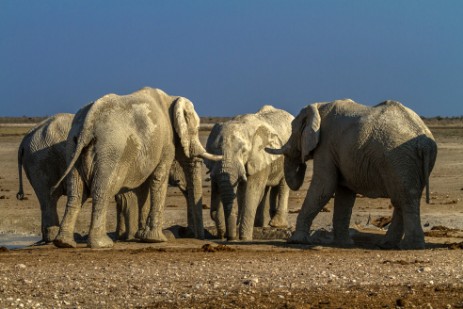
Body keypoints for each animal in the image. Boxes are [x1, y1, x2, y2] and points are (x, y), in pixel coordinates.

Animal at [52, 86, 219, 248]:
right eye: (196, 131)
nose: (199, 238)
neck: (171, 98)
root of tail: (88, 124)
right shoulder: (166, 143)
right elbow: (158, 179)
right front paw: (156, 239)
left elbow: (144, 186)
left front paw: (142, 236)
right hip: (111, 151)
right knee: (102, 190)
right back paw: (102, 244)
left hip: (72, 147)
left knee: (77, 192)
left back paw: (64, 243)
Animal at [204, 104, 294, 239]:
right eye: (215, 150)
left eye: (243, 151)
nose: (226, 237)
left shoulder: (258, 154)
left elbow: (251, 192)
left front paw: (244, 238)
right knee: (266, 189)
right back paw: (260, 224)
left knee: (283, 185)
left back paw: (277, 224)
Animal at [266, 100, 436, 249]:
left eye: (293, 130)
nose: (302, 162)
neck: (319, 107)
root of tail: (425, 143)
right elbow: (344, 194)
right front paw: (343, 244)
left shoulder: (326, 145)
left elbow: (324, 186)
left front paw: (296, 241)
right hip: (408, 161)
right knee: (404, 198)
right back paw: (388, 245)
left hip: (398, 159)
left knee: (404, 198)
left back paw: (408, 246)